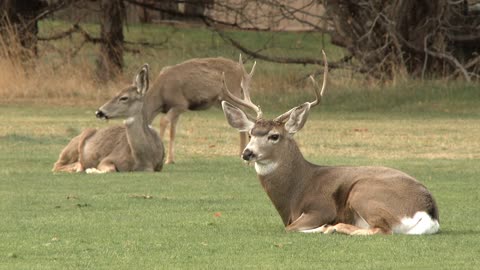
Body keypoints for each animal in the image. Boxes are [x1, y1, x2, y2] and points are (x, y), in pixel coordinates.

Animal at [220, 51, 438, 235]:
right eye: (250, 134)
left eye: (274, 136)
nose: (247, 153)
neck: (296, 189)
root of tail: (429, 212)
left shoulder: (321, 208)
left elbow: (291, 228)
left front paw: (324, 227)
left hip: (363, 192)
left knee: (382, 229)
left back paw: (334, 227)